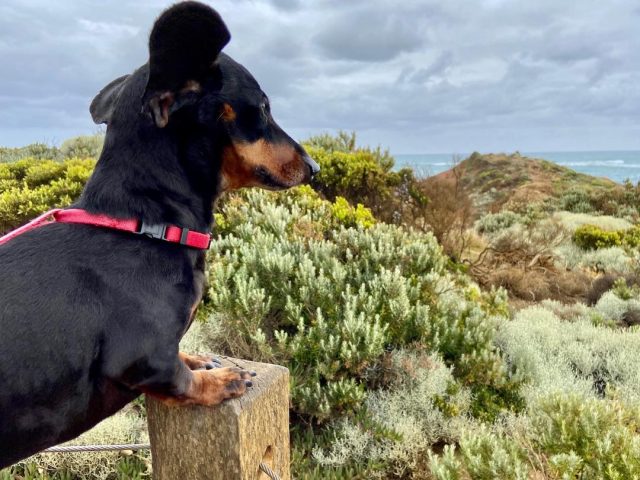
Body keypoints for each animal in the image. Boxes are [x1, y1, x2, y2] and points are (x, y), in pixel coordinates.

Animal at [0, 0, 318, 464]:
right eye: (262, 108)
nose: (314, 167)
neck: (146, 229)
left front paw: (200, 359)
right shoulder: (140, 359)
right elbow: (178, 378)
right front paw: (221, 380)